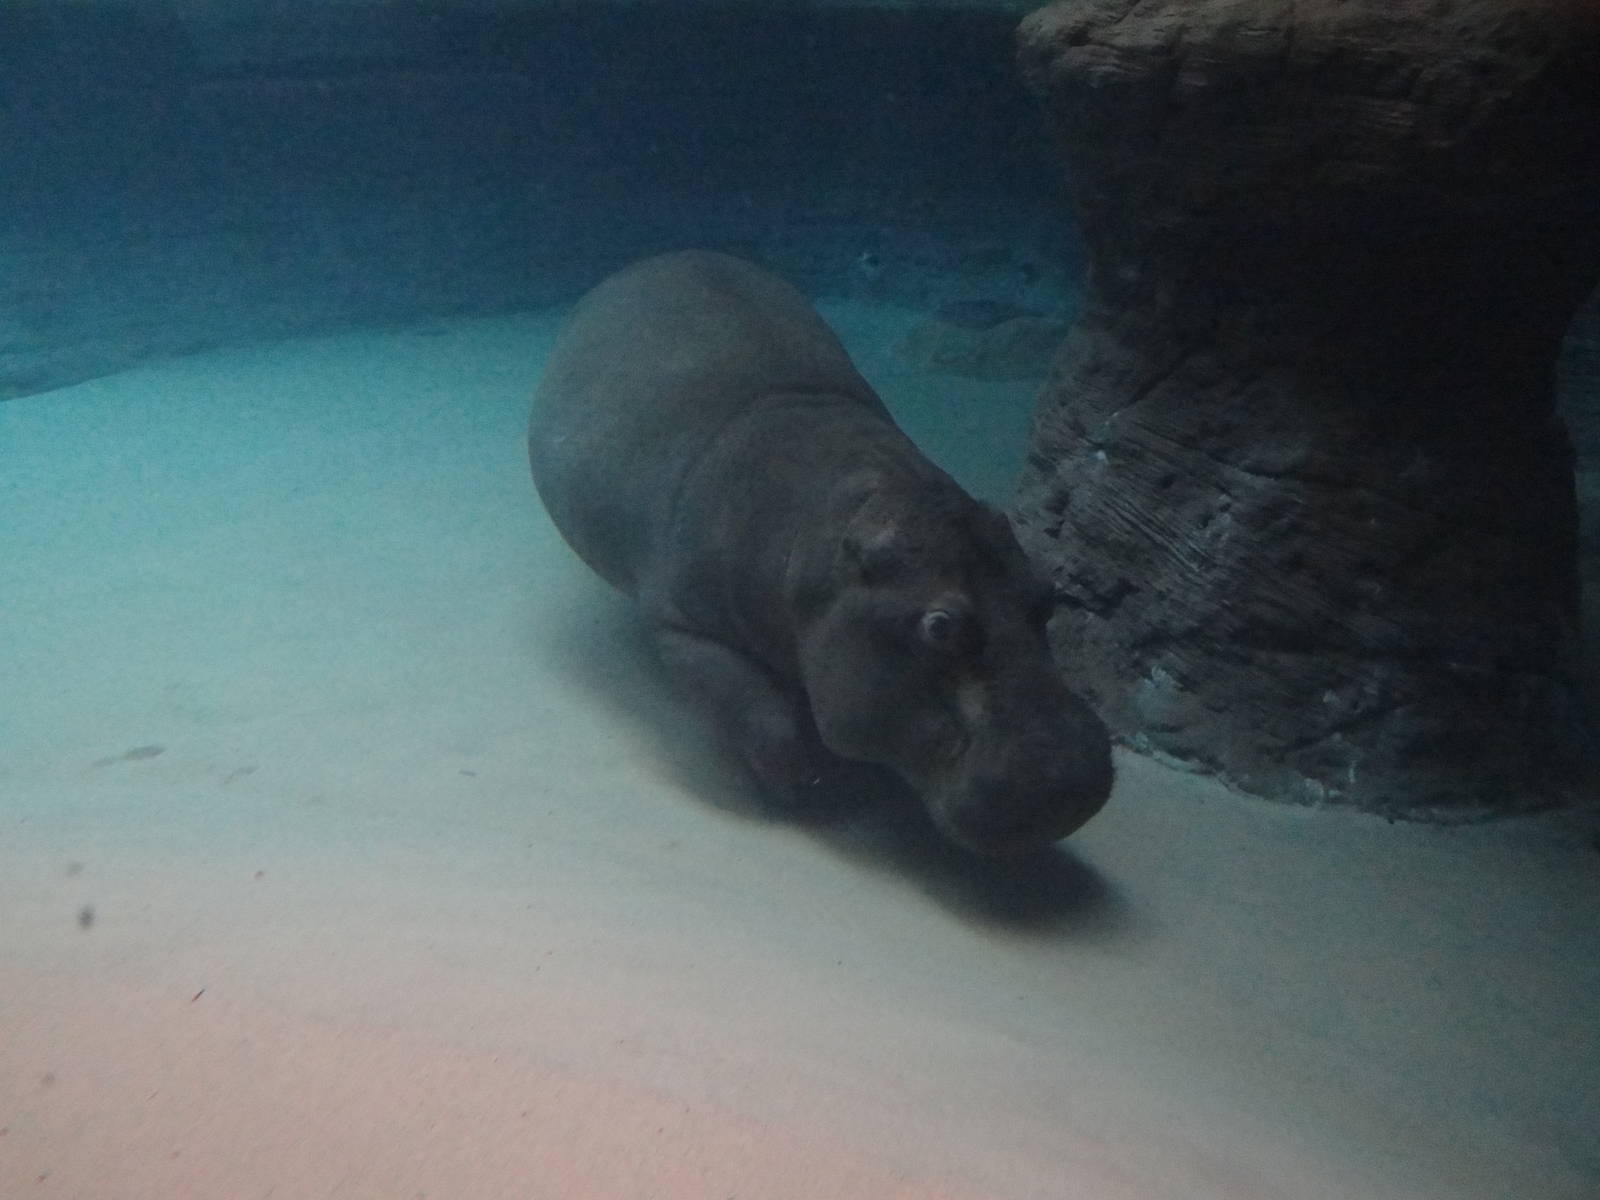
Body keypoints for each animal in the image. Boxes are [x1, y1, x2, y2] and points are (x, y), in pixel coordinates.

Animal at [529, 251, 1112, 855]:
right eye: (940, 626)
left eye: (1047, 594)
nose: (1072, 777)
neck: (815, 540)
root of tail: (654, 258)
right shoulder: (685, 627)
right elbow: (762, 718)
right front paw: (818, 791)